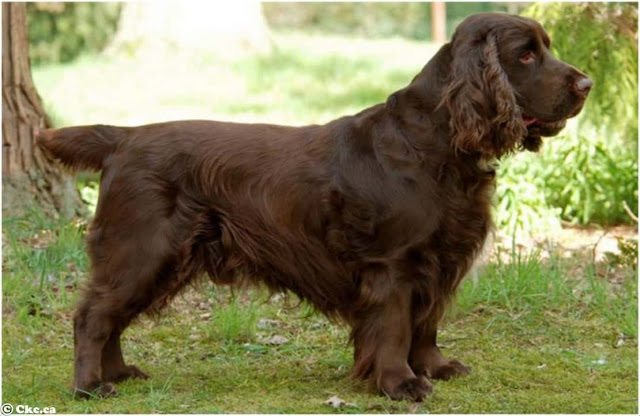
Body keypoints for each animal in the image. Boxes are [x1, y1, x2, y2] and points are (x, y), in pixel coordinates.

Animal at [38, 14, 592, 402]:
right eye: (526, 56)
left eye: (546, 48)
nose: (586, 84)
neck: (435, 141)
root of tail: (124, 137)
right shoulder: (393, 264)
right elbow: (395, 326)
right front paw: (400, 383)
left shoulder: (439, 260)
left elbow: (427, 322)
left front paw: (434, 367)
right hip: (145, 249)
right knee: (92, 316)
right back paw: (90, 387)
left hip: (156, 259)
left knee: (111, 316)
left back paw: (119, 374)